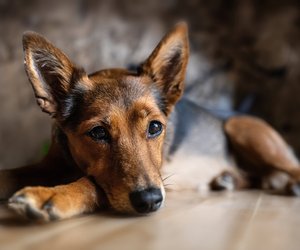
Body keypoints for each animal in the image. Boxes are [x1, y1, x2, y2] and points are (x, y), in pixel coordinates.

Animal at [0, 23, 300, 222]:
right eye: (97, 133)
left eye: (155, 127)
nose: (150, 201)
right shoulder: (48, 164)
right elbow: (12, 173)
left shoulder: (161, 179)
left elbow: (92, 183)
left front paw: (52, 195)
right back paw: (227, 180)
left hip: (241, 128)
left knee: (290, 168)